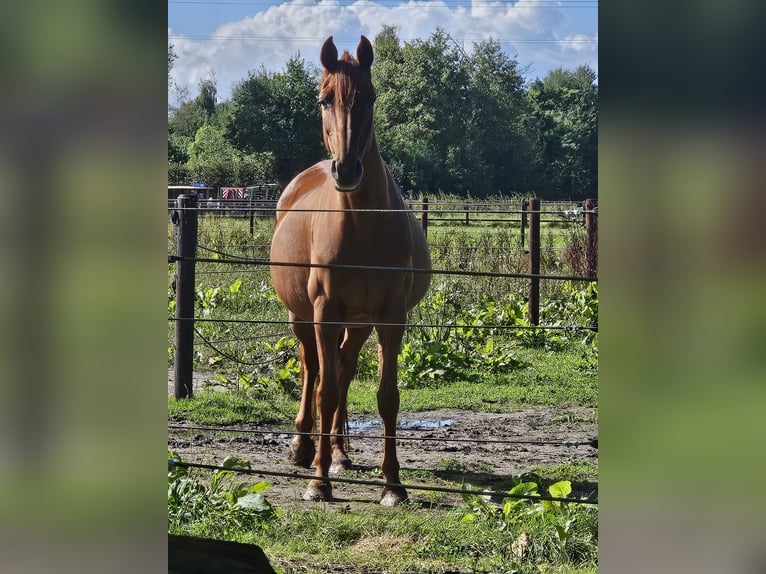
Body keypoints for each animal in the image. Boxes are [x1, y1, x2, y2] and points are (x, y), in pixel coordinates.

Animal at [270, 36, 432, 506]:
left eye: (370, 97)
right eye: (324, 99)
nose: (346, 170)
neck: (361, 224)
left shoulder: (390, 317)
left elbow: (386, 396)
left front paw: (393, 483)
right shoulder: (325, 312)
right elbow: (323, 392)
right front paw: (318, 482)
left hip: (357, 322)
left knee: (341, 369)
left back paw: (340, 453)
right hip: (302, 316)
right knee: (312, 369)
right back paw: (303, 447)